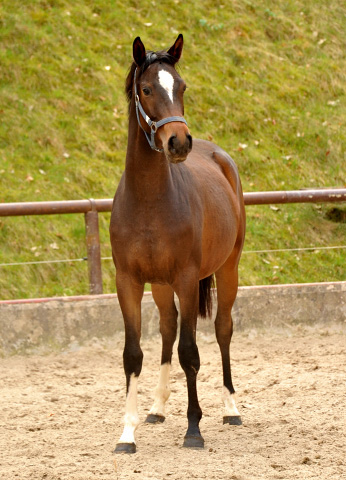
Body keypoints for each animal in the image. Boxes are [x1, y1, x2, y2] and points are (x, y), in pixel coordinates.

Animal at [109, 34, 245, 454]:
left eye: (181, 87)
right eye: (146, 89)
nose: (178, 142)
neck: (149, 200)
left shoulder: (186, 278)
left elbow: (190, 352)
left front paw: (194, 430)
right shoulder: (129, 282)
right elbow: (133, 353)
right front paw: (127, 433)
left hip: (228, 269)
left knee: (222, 329)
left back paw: (231, 408)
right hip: (159, 284)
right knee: (168, 328)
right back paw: (156, 407)